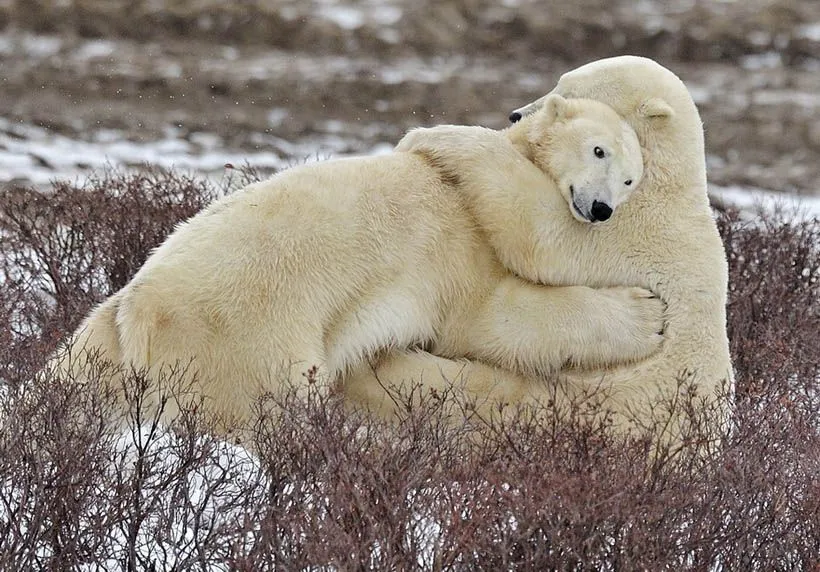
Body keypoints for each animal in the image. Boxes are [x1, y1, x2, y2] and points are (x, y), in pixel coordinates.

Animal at [56, 95, 660, 428]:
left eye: (632, 180)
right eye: (599, 150)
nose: (601, 209)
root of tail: (138, 309)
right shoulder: (463, 239)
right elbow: (493, 318)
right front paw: (647, 314)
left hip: (104, 340)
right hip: (244, 338)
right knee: (264, 410)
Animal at [342, 55, 732, 440]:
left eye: (571, 89)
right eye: (561, 80)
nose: (515, 114)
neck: (668, 178)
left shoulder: (629, 228)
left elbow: (540, 232)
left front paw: (433, 136)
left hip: (589, 400)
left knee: (476, 388)